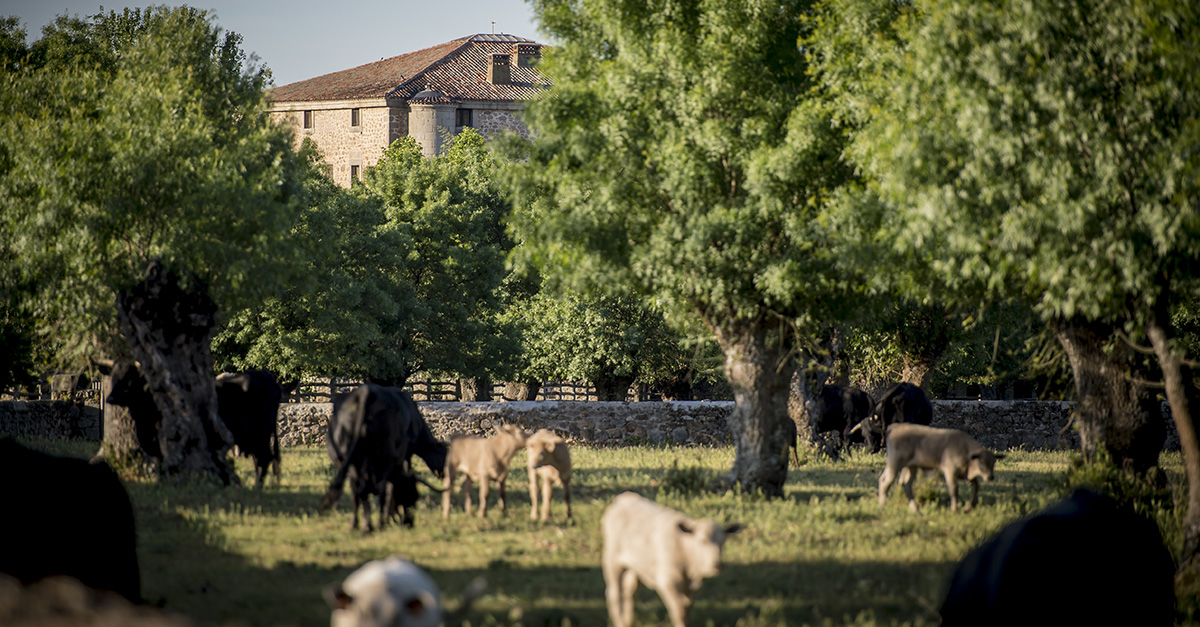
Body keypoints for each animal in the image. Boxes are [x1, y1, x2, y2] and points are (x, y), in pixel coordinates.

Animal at [321, 379, 448, 526]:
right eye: (444, 456)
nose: (445, 475)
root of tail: (367, 392)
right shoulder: (406, 454)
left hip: (349, 458)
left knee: (357, 488)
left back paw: (358, 524)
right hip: (383, 458)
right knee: (378, 487)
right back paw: (380, 522)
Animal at [600, 490, 739, 619]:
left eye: (723, 541)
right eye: (702, 540)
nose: (718, 564)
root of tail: (625, 497)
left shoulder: (692, 587)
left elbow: (687, 609)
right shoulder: (667, 581)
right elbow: (679, 611)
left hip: (637, 567)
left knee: (629, 591)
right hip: (613, 563)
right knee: (614, 594)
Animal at [873, 420, 1003, 511]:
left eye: (993, 463)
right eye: (981, 462)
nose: (990, 477)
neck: (964, 449)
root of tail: (895, 427)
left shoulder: (964, 474)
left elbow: (976, 485)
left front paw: (969, 506)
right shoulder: (950, 471)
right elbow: (954, 489)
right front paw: (955, 509)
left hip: (910, 467)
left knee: (904, 484)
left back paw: (915, 509)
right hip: (895, 464)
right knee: (886, 481)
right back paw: (883, 504)